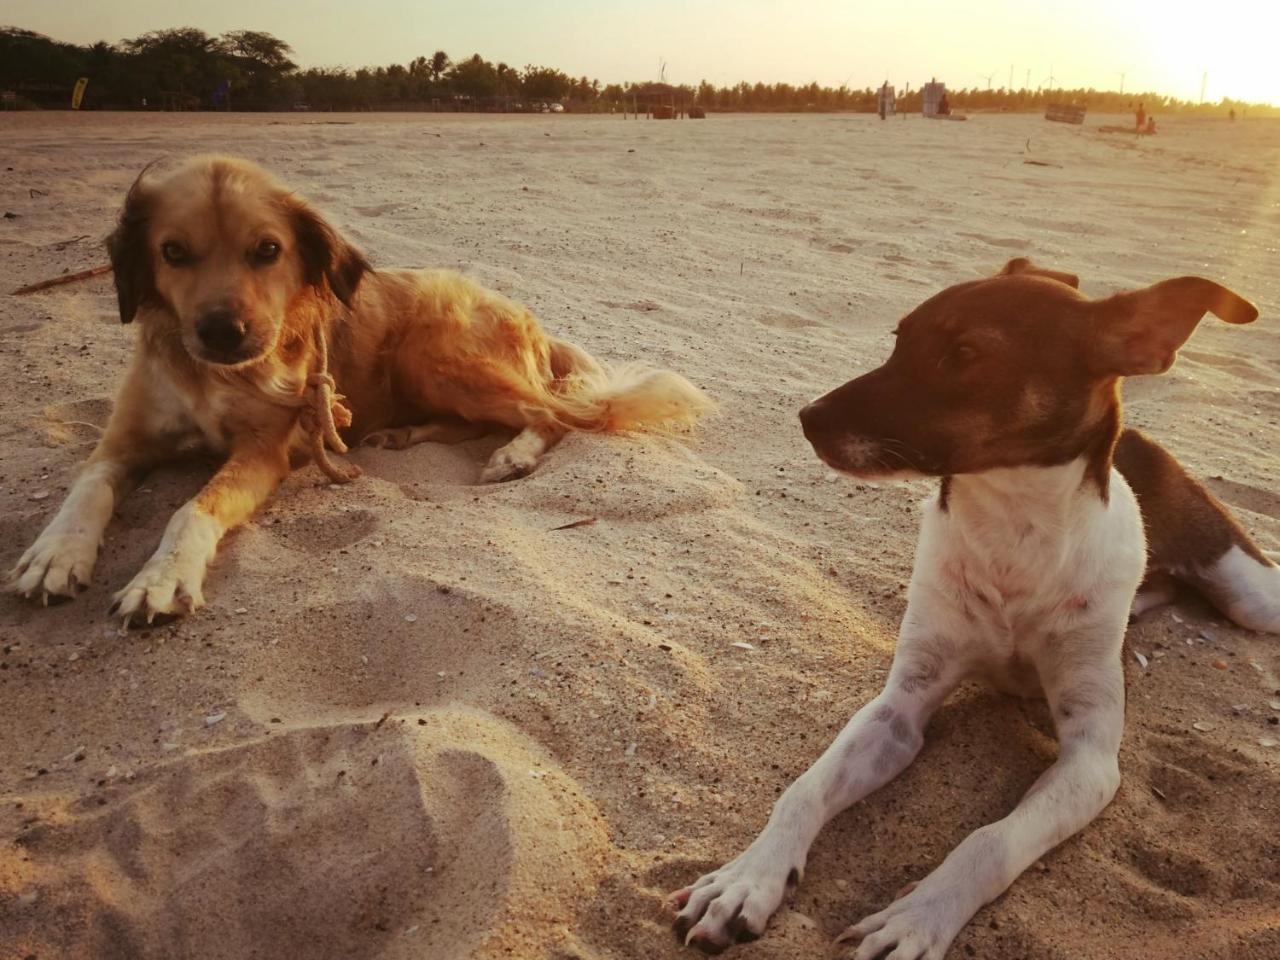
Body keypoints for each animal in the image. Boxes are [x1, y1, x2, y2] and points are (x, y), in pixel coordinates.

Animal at [10, 156, 711, 624]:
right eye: (173, 252)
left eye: (268, 250)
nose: (223, 332)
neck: (213, 376)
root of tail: (526, 313)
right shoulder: (121, 443)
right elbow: (85, 489)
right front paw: (54, 555)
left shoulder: (263, 452)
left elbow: (192, 508)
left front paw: (162, 577)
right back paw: (407, 432)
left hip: (434, 352)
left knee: (552, 413)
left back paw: (512, 455)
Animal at [675, 259, 1274, 957]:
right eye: (899, 338)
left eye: (965, 355)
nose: (807, 417)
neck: (1012, 534)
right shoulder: (897, 710)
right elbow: (804, 789)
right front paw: (748, 878)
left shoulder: (1090, 759)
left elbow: (990, 840)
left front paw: (918, 916)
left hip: (1252, 595)